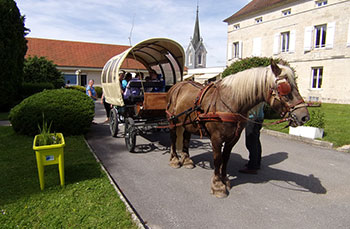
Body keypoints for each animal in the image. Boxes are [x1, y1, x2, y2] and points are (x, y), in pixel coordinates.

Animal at [166, 60, 308, 199]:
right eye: (284, 88)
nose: (304, 116)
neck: (230, 102)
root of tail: (177, 85)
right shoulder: (216, 138)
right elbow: (217, 159)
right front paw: (218, 185)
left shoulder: (233, 138)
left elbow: (225, 158)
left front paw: (224, 180)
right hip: (173, 122)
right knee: (173, 139)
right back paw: (175, 159)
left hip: (188, 123)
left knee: (186, 138)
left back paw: (187, 160)